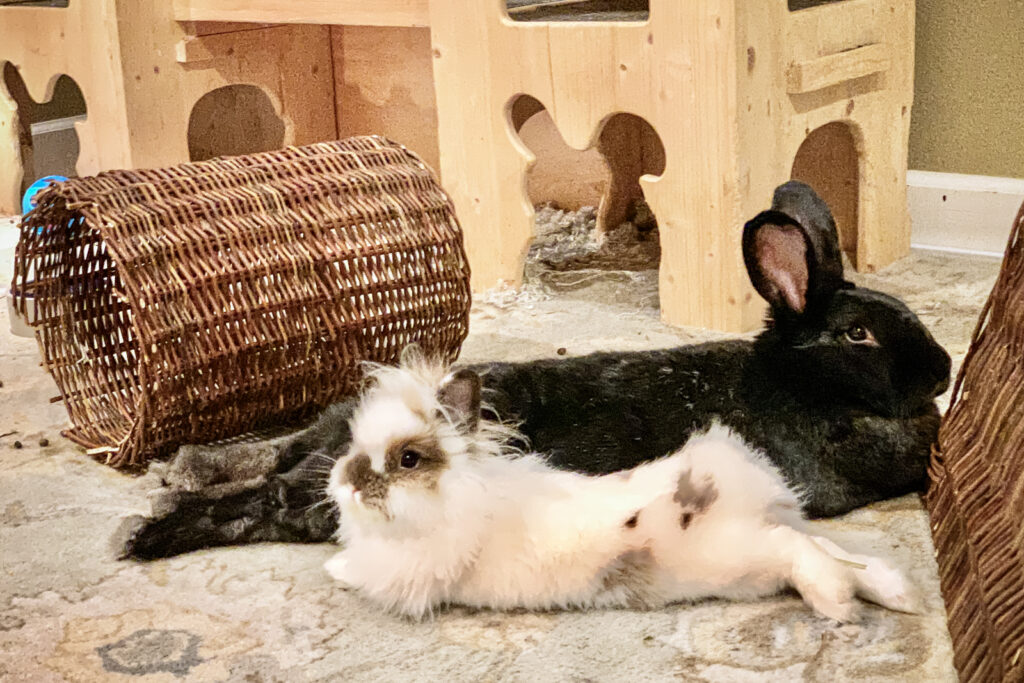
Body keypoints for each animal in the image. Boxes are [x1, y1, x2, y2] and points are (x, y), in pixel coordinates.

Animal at [114, 180, 950, 561]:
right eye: (859, 334)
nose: (944, 370)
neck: (798, 380)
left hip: (326, 436)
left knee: (272, 454)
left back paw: (174, 474)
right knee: (268, 499)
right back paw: (142, 531)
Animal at [323, 354, 919, 621]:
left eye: (407, 459)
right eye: (353, 445)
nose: (346, 484)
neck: (455, 495)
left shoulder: (413, 572)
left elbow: (361, 572)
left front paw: (333, 567)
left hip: (738, 557)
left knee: (797, 548)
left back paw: (835, 603)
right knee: (826, 546)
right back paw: (897, 593)